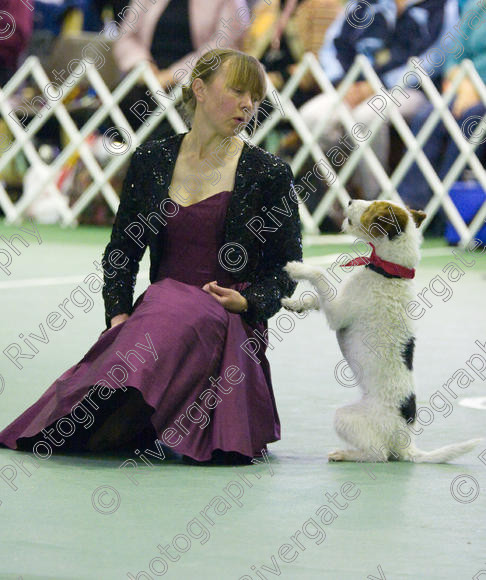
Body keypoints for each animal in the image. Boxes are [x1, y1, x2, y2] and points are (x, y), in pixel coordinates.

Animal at [280, 202, 482, 464]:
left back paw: (345, 454)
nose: (349, 202)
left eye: (372, 209)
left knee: (378, 454)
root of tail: (406, 442)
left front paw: (298, 268)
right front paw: (296, 304)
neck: (389, 272)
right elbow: (316, 298)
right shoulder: (336, 304)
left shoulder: (338, 314)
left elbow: (321, 277)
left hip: (344, 417)